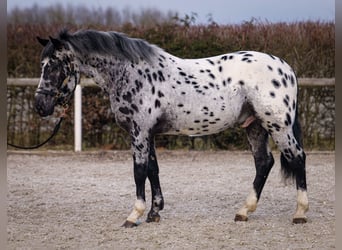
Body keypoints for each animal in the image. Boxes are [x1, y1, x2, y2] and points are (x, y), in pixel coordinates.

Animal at [35, 28, 310, 227]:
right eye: (42, 64)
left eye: (53, 65)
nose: (40, 105)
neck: (132, 73)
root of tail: (286, 68)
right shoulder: (149, 134)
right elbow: (153, 170)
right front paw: (154, 213)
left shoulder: (139, 131)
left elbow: (139, 171)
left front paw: (134, 215)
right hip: (255, 126)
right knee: (264, 162)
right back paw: (244, 211)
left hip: (278, 125)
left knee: (297, 157)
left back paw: (300, 213)